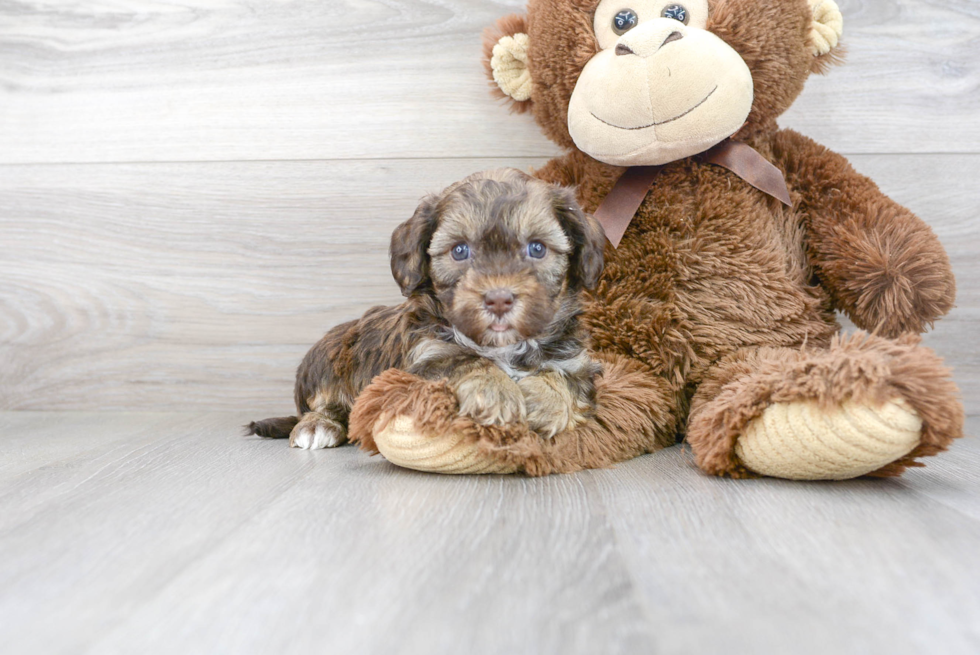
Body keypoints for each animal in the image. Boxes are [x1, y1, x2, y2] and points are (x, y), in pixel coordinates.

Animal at [247, 167, 604, 448]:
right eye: (460, 250)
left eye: (537, 248)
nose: (499, 299)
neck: (503, 346)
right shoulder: (422, 361)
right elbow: (463, 360)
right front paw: (495, 392)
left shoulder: (578, 364)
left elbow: (565, 379)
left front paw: (544, 400)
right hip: (328, 357)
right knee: (321, 404)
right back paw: (318, 426)